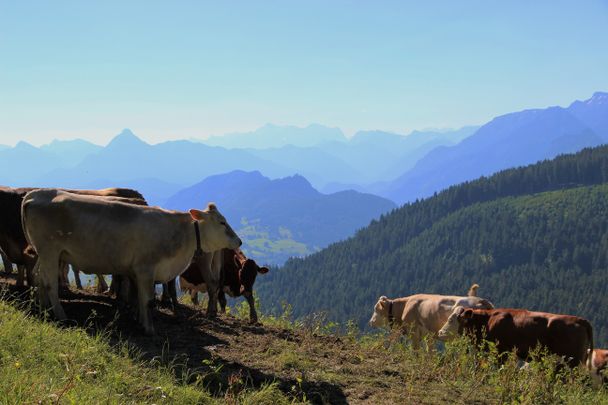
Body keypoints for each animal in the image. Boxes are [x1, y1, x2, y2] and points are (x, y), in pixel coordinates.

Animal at [366, 284, 494, 348]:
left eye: (376, 309)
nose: (370, 322)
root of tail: (482, 300)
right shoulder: (429, 336)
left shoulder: (414, 333)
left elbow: (416, 352)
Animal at [436, 306, 592, 370]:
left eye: (452, 320)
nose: (440, 332)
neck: (487, 321)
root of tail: (580, 320)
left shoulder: (501, 351)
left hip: (572, 360)